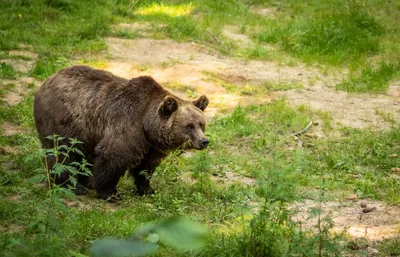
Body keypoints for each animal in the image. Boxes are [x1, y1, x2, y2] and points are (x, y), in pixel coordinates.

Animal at [33, 64, 209, 200]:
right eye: (189, 126)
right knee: (62, 154)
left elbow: (146, 167)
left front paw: (148, 189)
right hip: (63, 121)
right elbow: (113, 156)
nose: (204, 141)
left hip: (86, 132)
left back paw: (87, 182)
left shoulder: (151, 145)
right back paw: (73, 186)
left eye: (201, 124)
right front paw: (111, 193)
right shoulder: (127, 126)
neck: (146, 124)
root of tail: (48, 80)